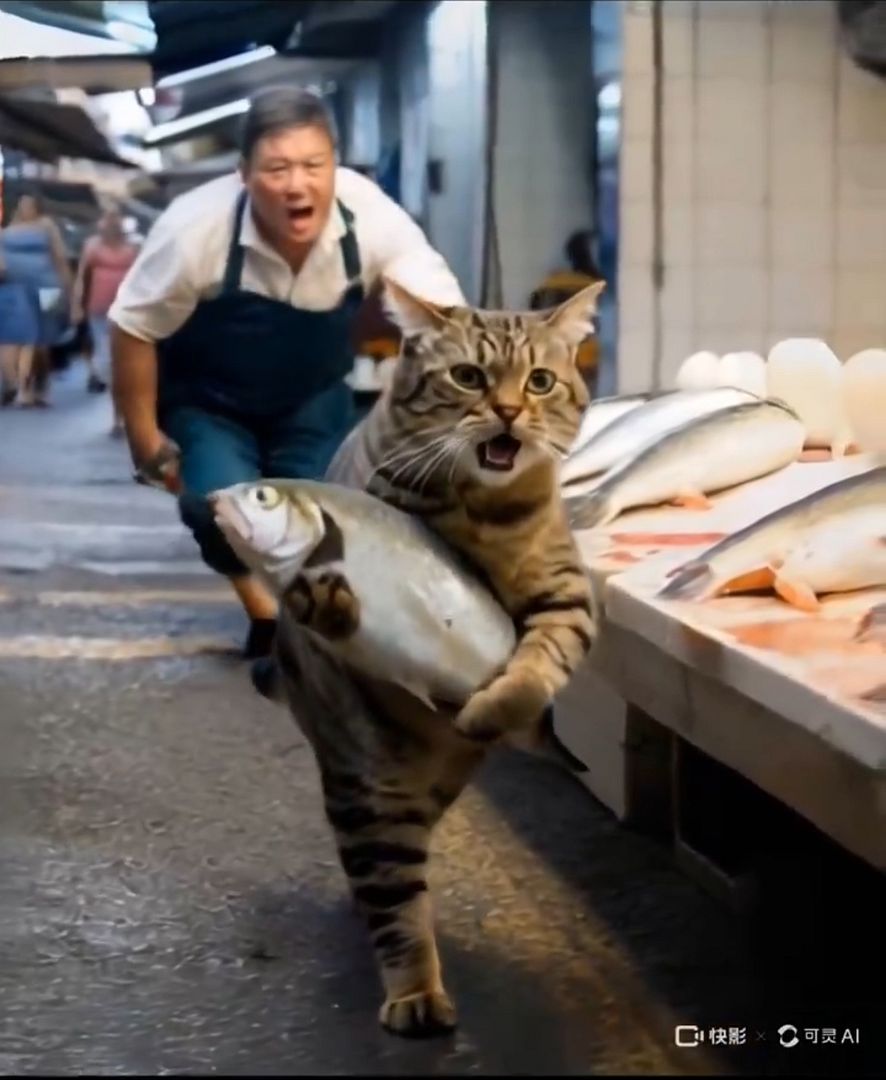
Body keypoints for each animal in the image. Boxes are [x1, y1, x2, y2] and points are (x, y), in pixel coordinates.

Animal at [270, 276, 600, 1036]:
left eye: (539, 381)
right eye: (468, 376)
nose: (508, 411)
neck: (486, 516)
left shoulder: (566, 601)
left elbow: (535, 669)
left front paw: (498, 704)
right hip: (370, 782)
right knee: (391, 889)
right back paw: (415, 988)